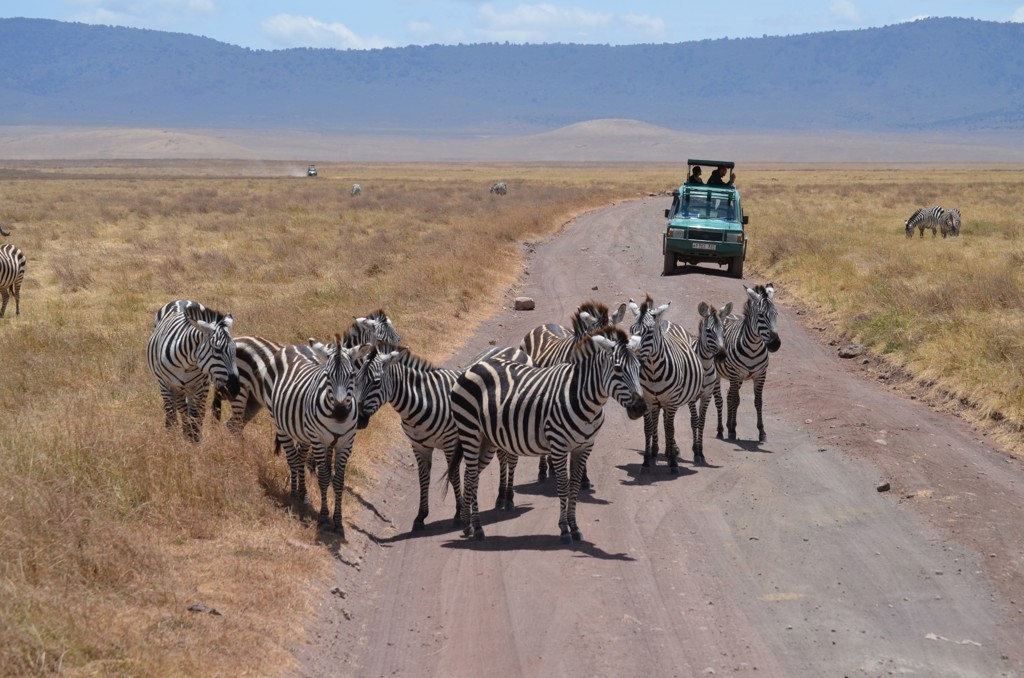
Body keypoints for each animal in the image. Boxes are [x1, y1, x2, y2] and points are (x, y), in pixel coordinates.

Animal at [146, 300, 241, 443]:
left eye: (235, 349)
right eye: (217, 350)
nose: (235, 389)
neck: (189, 363)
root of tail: (182, 300)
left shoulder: (198, 385)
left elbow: (194, 415)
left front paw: (193, 439)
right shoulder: (170, 384)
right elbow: (177, 413)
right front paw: (176, 438)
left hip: (201, 386)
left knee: (198, 411)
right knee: (173, 410)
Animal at [267, 335, 370, 538]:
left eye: (352, 376)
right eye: (328, 376)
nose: (340, 413)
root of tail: (293, 346)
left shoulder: (346, 443)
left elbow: (338, 481)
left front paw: (338, 522)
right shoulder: (319, 441)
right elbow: (323, 478)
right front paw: (323, 519)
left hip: (305, 434)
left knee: (299, 457)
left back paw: (303, 495)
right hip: (282, 426)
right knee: (292, 460)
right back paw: (294, 496)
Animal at [450, 325, 647, 544]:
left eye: (639, 368)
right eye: (618, 369)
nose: (640, 407)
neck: (582, 398)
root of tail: (474, 367)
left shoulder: (584, 446)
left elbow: (574, 486)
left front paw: (575, 527)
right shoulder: (559, 445)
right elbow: (562, 486)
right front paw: (564, 529)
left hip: (486, 439)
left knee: (470, 476)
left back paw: (468, 525)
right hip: (470, 431)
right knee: (472, 476)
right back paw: (477, 528)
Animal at [628, 295, 730, 469]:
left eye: (723, 330)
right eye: (708, 331)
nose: (722, 355)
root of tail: (666, 321)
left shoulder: (706, 394)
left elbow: (700, 422)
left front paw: (699, 452)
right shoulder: (687, 397)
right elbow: (692, 421)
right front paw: (694, 452)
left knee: (665, 420)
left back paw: (669, 450)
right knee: (661, 420)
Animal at [713, 283, 782, 443]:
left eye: (776, 314)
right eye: (761, 315)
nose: (775, 344)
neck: (753, 348)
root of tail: (726, 314)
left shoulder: (761, 375)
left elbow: (758, 402)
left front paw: (762, 432)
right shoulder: (734, 373)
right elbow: (736, 400)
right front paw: (732, 431)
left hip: (738, 378)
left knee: (729, 395)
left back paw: (728, 425)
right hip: (719, 374)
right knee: (720, 399)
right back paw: (721, 430)